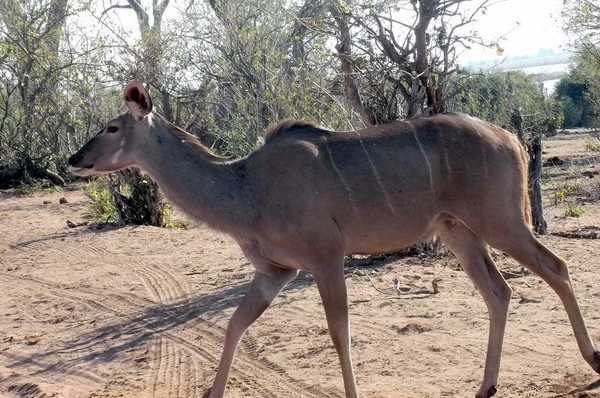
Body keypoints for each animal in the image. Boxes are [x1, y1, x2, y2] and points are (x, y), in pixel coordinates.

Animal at [68, 81, 596, 398]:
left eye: (112, 126)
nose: (75, 158)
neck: (246, 186)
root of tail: (510, 139)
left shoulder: (325, 258)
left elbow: (339, 332)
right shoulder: (275, 273)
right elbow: (235, 325)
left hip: (500, 222)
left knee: (556, 268)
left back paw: (592, 360)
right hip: (458, 232)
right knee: (499, 292)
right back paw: (485, 386)